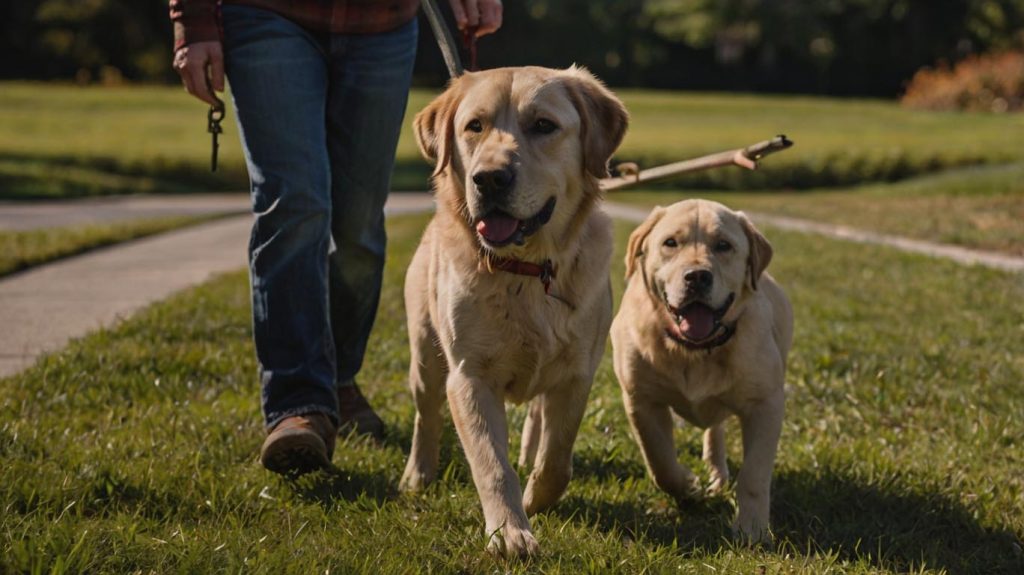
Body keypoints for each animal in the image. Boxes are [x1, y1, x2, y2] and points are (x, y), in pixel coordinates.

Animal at [401, 67, 626, 556]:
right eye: (474, 126)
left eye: (543, 125)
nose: (489, 179)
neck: (526, 269)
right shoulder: (469, 377)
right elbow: (491, 463)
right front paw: (510, 531)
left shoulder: (577, 374)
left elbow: (558, 458)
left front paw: (534, 498)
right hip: (425, 357)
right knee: (426, 415)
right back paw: (418, 473)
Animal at [610, 200, 794, 540]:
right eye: (670, 242)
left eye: (723, 245)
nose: (696, 276)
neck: (694, 350)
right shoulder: (640, 400)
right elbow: (659, 461)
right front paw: (687, 487)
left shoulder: (766, 404)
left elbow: (754, 475)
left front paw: (752, 528)